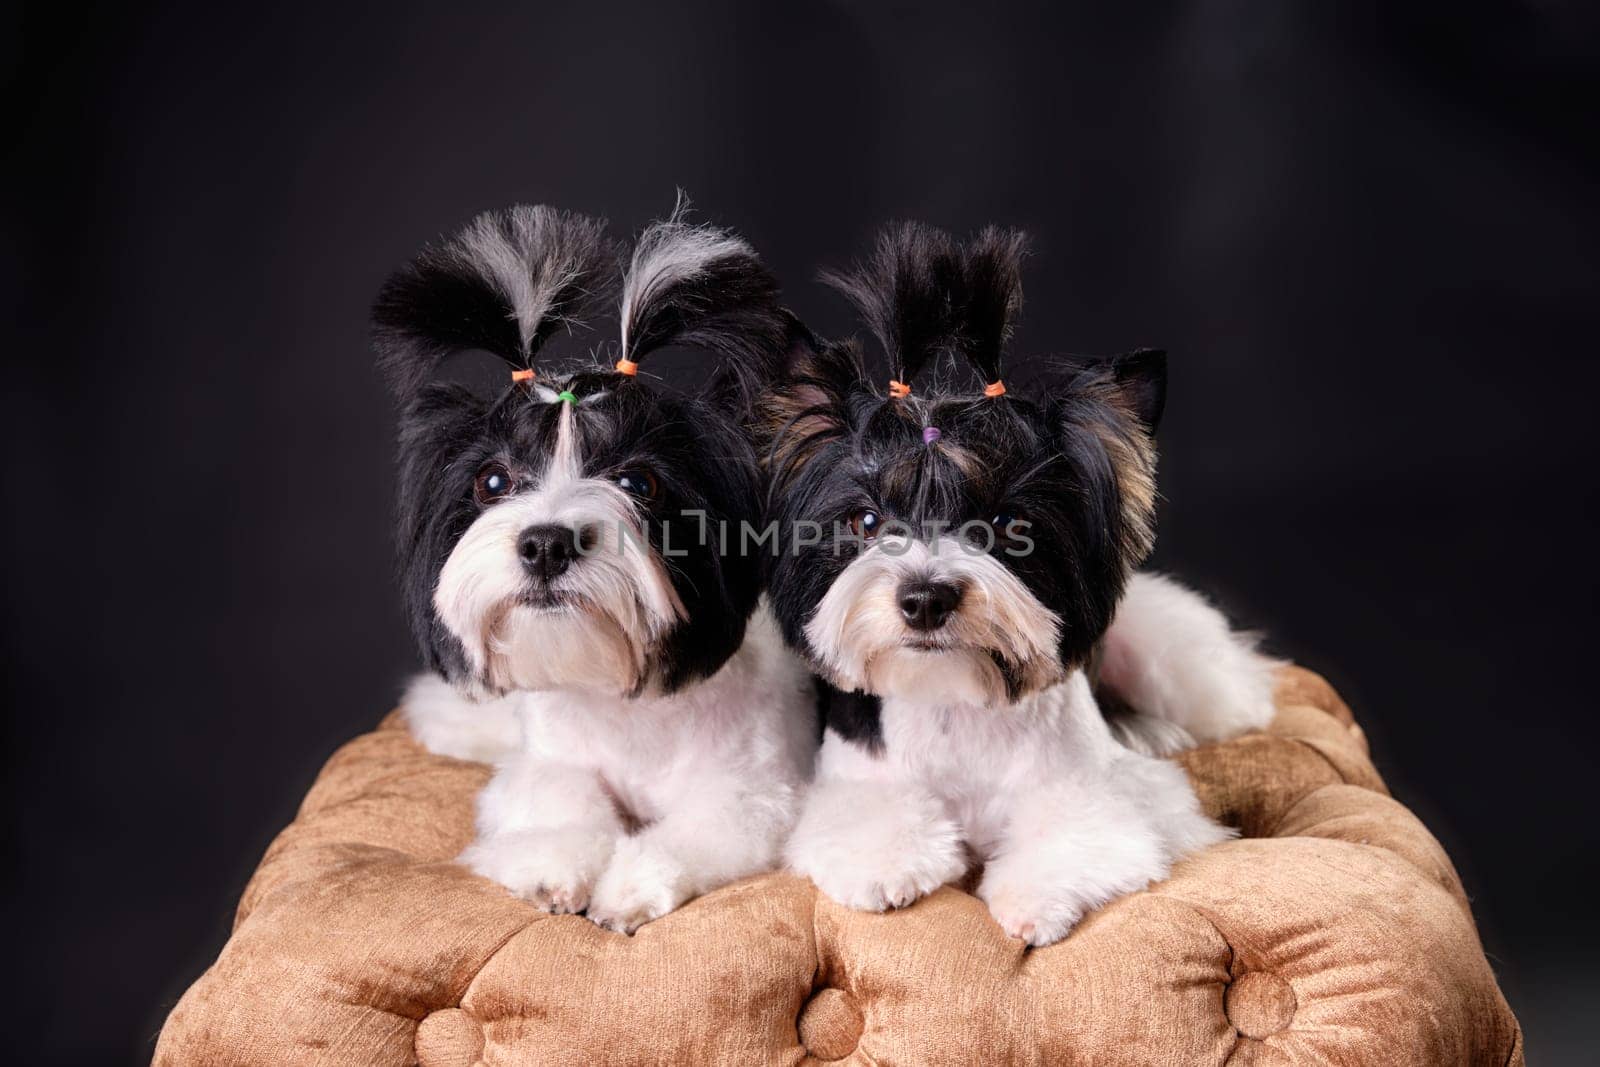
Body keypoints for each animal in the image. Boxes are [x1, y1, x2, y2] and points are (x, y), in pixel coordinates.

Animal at [371, 202, 812, 934]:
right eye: (493, 481)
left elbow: (698, 827)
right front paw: (552, 864)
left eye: (638, 482)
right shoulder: (547, 761)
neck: (619, 699)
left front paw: (627, 886)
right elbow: (553, 796)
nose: (546, 543)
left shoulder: (753, 791)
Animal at [761, 220, 1273, 947]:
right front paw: (886, 867)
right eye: (867, 519)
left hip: (1163, 652)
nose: (925, 598)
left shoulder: (1091, 792)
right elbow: (870, 821)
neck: (954, 699)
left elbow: (1083, 831)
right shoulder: (856, 780)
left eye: (1008, 525)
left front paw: (1034, 896)